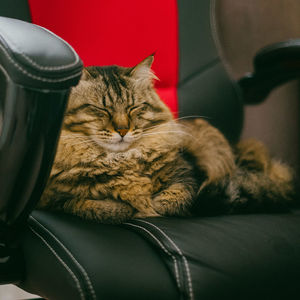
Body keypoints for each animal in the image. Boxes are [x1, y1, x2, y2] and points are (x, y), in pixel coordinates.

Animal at [37, 55, 296, 224]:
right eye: (102, 110)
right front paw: (131, 207)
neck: (123, 159)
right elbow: (90, 205)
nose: (122, 130)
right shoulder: (51, 198)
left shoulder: (188, 173)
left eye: (133, 108)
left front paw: (152, 206)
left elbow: (175, 198)